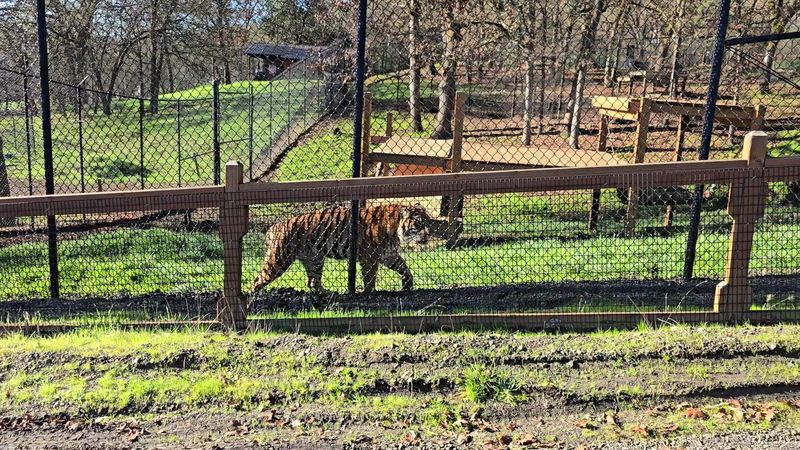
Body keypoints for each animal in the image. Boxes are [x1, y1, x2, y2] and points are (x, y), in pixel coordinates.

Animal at [251, 203, 434, 294]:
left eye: (428, 221)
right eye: (418, 224)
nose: (429, 234)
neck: (397, 230)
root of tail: (273, 226)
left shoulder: (389, 255)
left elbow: (405, 268)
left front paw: (407, 285)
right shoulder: (370, 257)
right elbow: (370, 278)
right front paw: (370, 293)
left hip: (315, 260)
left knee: (313, 282)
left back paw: (328, 293)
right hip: (278, 260)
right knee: (257, 280)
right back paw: (256, 298)